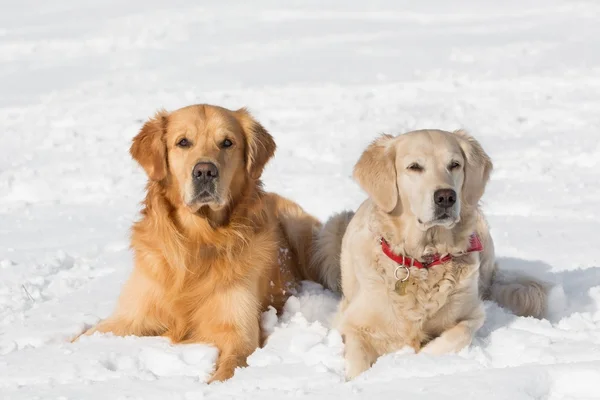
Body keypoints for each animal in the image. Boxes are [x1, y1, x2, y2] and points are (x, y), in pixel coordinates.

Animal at [76, 103, 338, 382]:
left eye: (227, 143)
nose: (205, 171)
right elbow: (84, 336)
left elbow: (227, 372)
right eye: (183, 142)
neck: (198, 241)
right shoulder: (129, 317)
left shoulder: (240, 334)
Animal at [318, 130, 548, 380]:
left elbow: (457, 335)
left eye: (455, 164)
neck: (423, 261)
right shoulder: (352, 322)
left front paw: (417, 361)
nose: (446, 197)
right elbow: (357, 360)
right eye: (414, 167)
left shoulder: (473, 313)